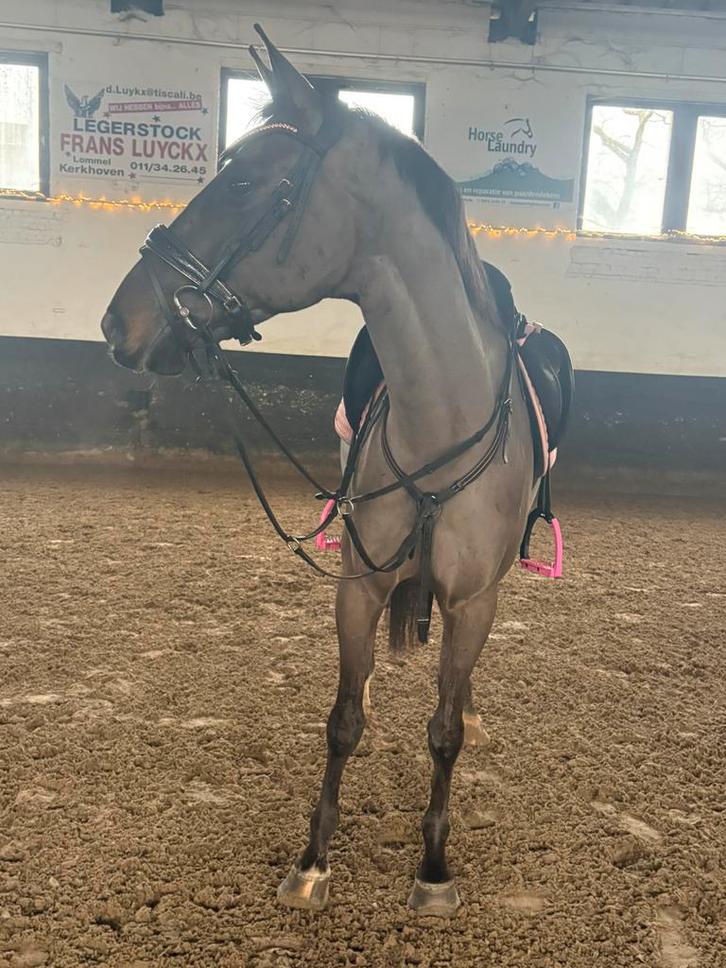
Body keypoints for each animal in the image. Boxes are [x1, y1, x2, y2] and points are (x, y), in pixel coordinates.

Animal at [101, 26, 540, 917]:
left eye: (245, 185)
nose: (116, 322)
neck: (436, 423)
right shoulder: (358, 587)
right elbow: (341, 719)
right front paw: (312, 861)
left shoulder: (474, 602)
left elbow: (444, 731)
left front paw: (432, 871)